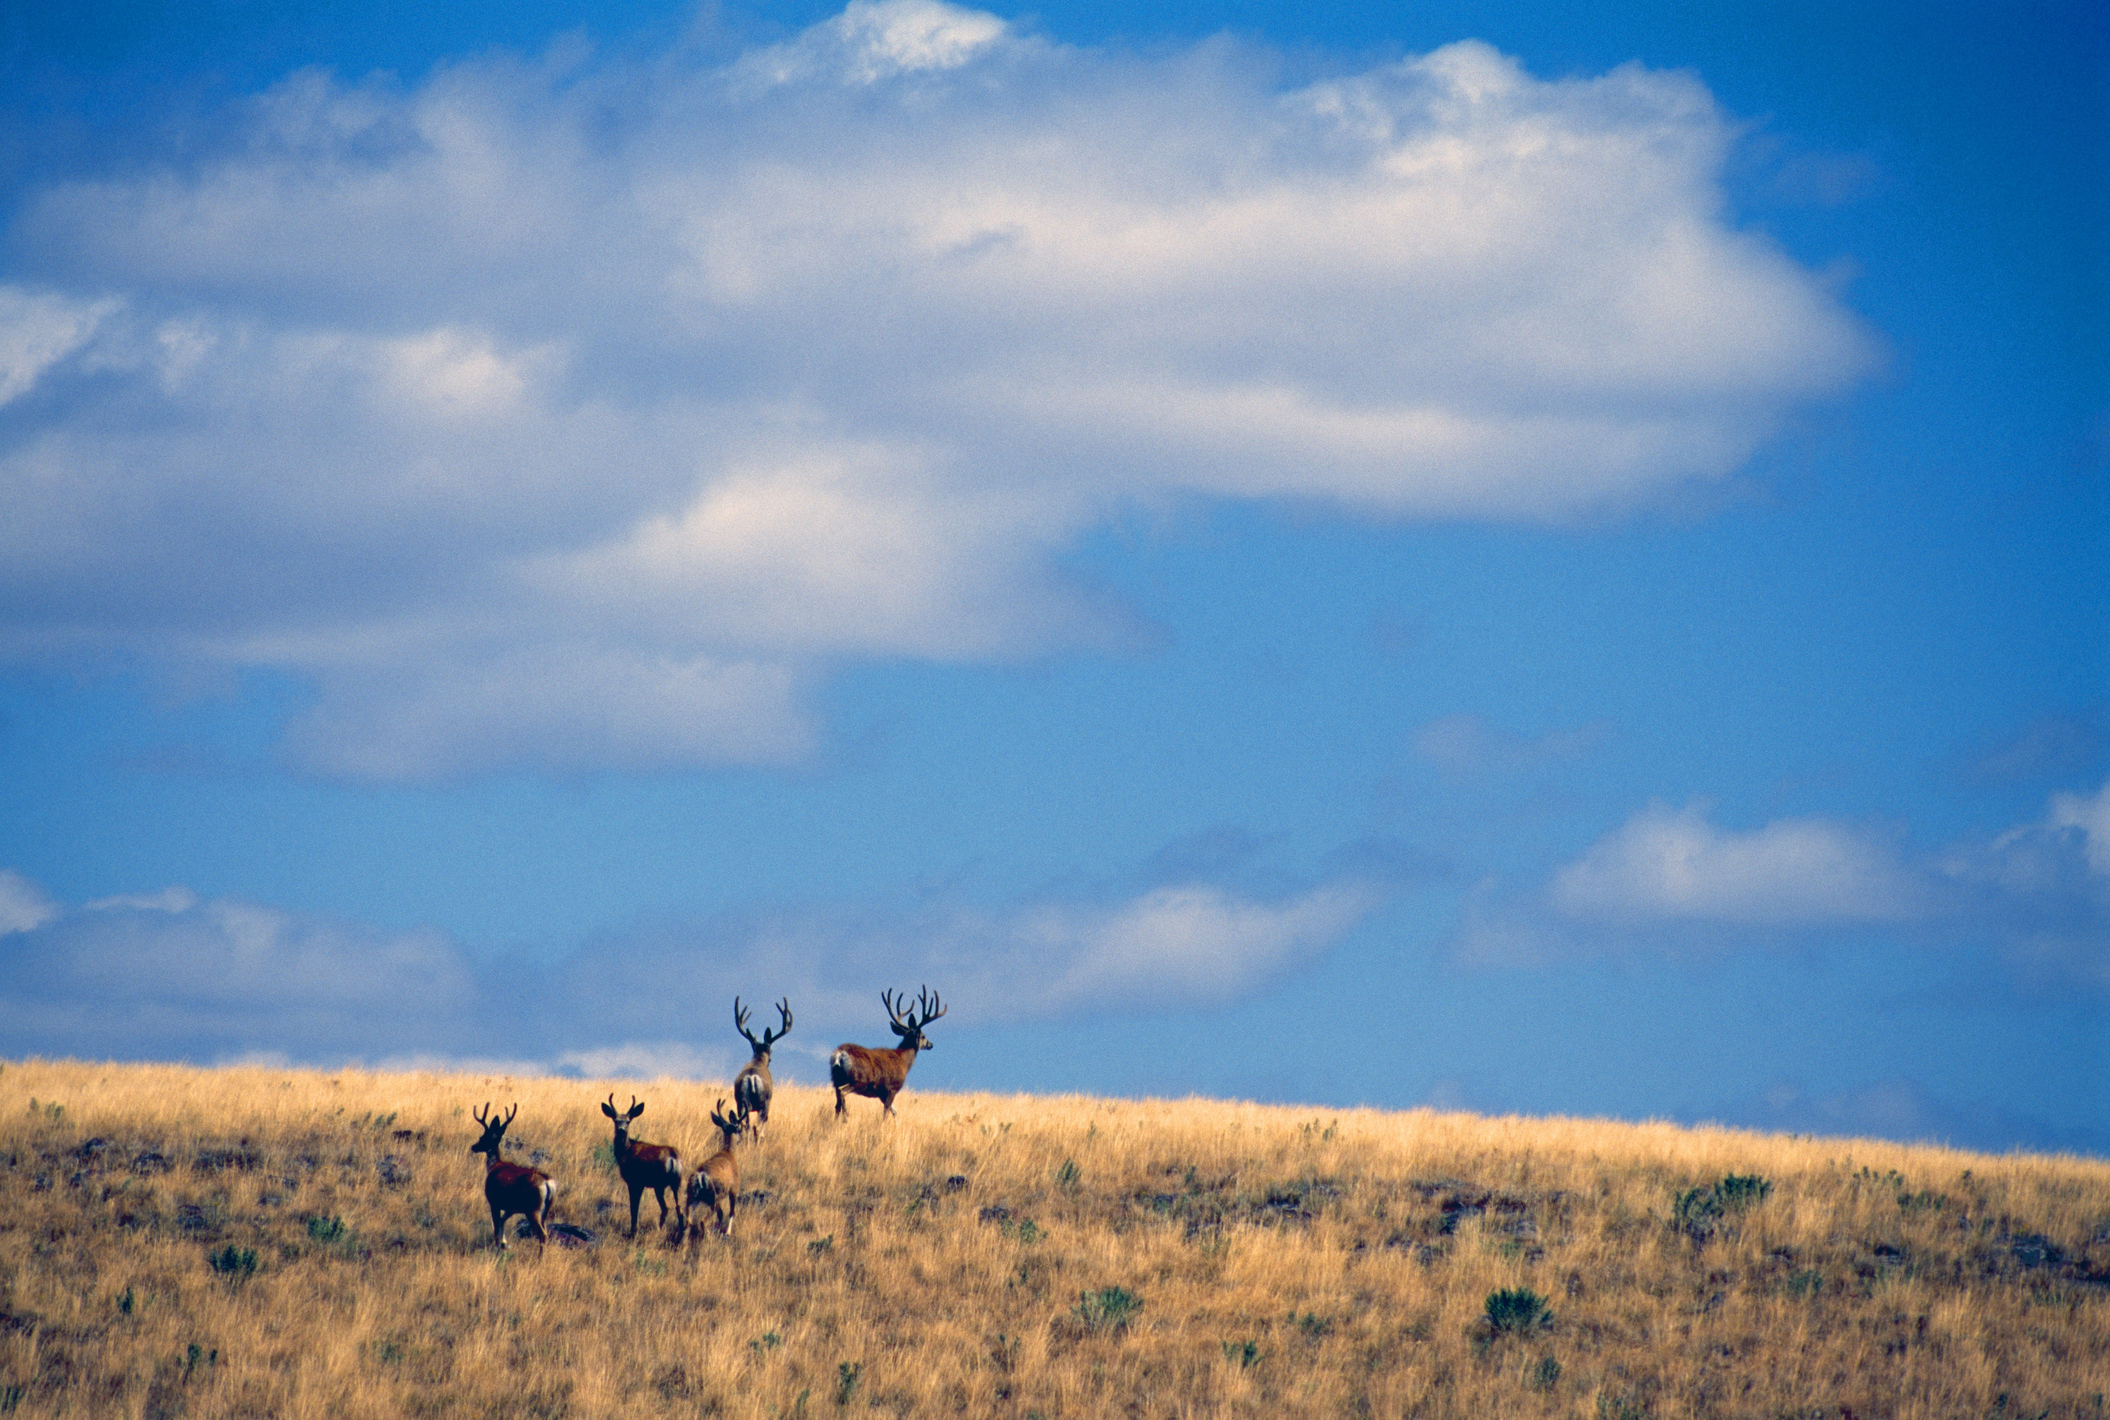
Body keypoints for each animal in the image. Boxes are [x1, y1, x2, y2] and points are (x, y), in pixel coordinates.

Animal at [466, 1105, 557, 1249]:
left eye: (482, 1137)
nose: (474, 1147)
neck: (494, 1165)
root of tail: (548, 1183)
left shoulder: (494, 1202)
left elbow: (496, 1228)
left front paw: (498, 1246)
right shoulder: (510, 1208)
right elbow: (502, 1223)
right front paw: (504, 1243)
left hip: (533, 1209)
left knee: (542, 1235)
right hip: (546, 1209)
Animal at [599, 1088, 687, 1232]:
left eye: (628, 1121)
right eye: (616, 1120)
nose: (621, 1130)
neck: (625, 1151)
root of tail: (673, 1156)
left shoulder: (635, 1181)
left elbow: (634, 1208)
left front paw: (633, 1230)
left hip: (659, 1183)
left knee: (666, 1208)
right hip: (677, 1182)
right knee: (678, 1209)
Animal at [683, 1097, 751, 1232]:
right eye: (740, 1127)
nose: (742, 1138)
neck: (729, 1152)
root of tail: (700, 1176)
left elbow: (721, 1215)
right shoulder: (734, 1188)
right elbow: (731, 1212)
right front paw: (728, 1232)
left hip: (692, 1196)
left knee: (688, 1221)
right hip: (715, 1197)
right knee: (703, 1221)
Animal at [725, 995, 793, 1139]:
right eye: (771, 1050)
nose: (771, 1059)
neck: (758, 1061)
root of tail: (752, 1077)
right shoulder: (768, 1102)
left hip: (741, 1102)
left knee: (745, 1126)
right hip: (764, 1103)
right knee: (756, 1126)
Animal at [831, 987, 949, 1122]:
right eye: (923, 1036)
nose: (931, 1044)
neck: (903, 1060)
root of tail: (839, 1054)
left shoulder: (881, 1094)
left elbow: (894, 1111)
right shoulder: (892, 1088)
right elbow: (886, 1112)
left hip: (836, 1079)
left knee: (836, 1105)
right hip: (858, 1080)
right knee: (843, 1093)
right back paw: (846, 1118)